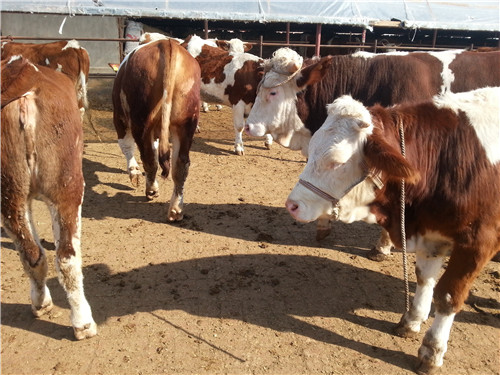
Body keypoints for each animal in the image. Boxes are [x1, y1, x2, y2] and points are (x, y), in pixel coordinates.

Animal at [0, 56, 96, 340]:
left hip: (10, 195)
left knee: (31, 254)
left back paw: (41, 303)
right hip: (67, 187)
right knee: (66, 258)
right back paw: (83, 323)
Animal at [112, 39, 200, 220]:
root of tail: (167, 43)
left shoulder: (119, 118)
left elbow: (126, 146)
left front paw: (133, 172)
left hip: (141, 121)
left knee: (149, 159)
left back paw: (152, 190)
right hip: (186, 123)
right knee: (180, 164)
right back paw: (175, 209)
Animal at [286, 87, 500, 374]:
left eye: (337, 162)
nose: (292, 205)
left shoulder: (478, 243)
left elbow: (447, 295)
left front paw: (432, 351)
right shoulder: (432, 234)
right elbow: (424, 279)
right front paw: (412, 320)